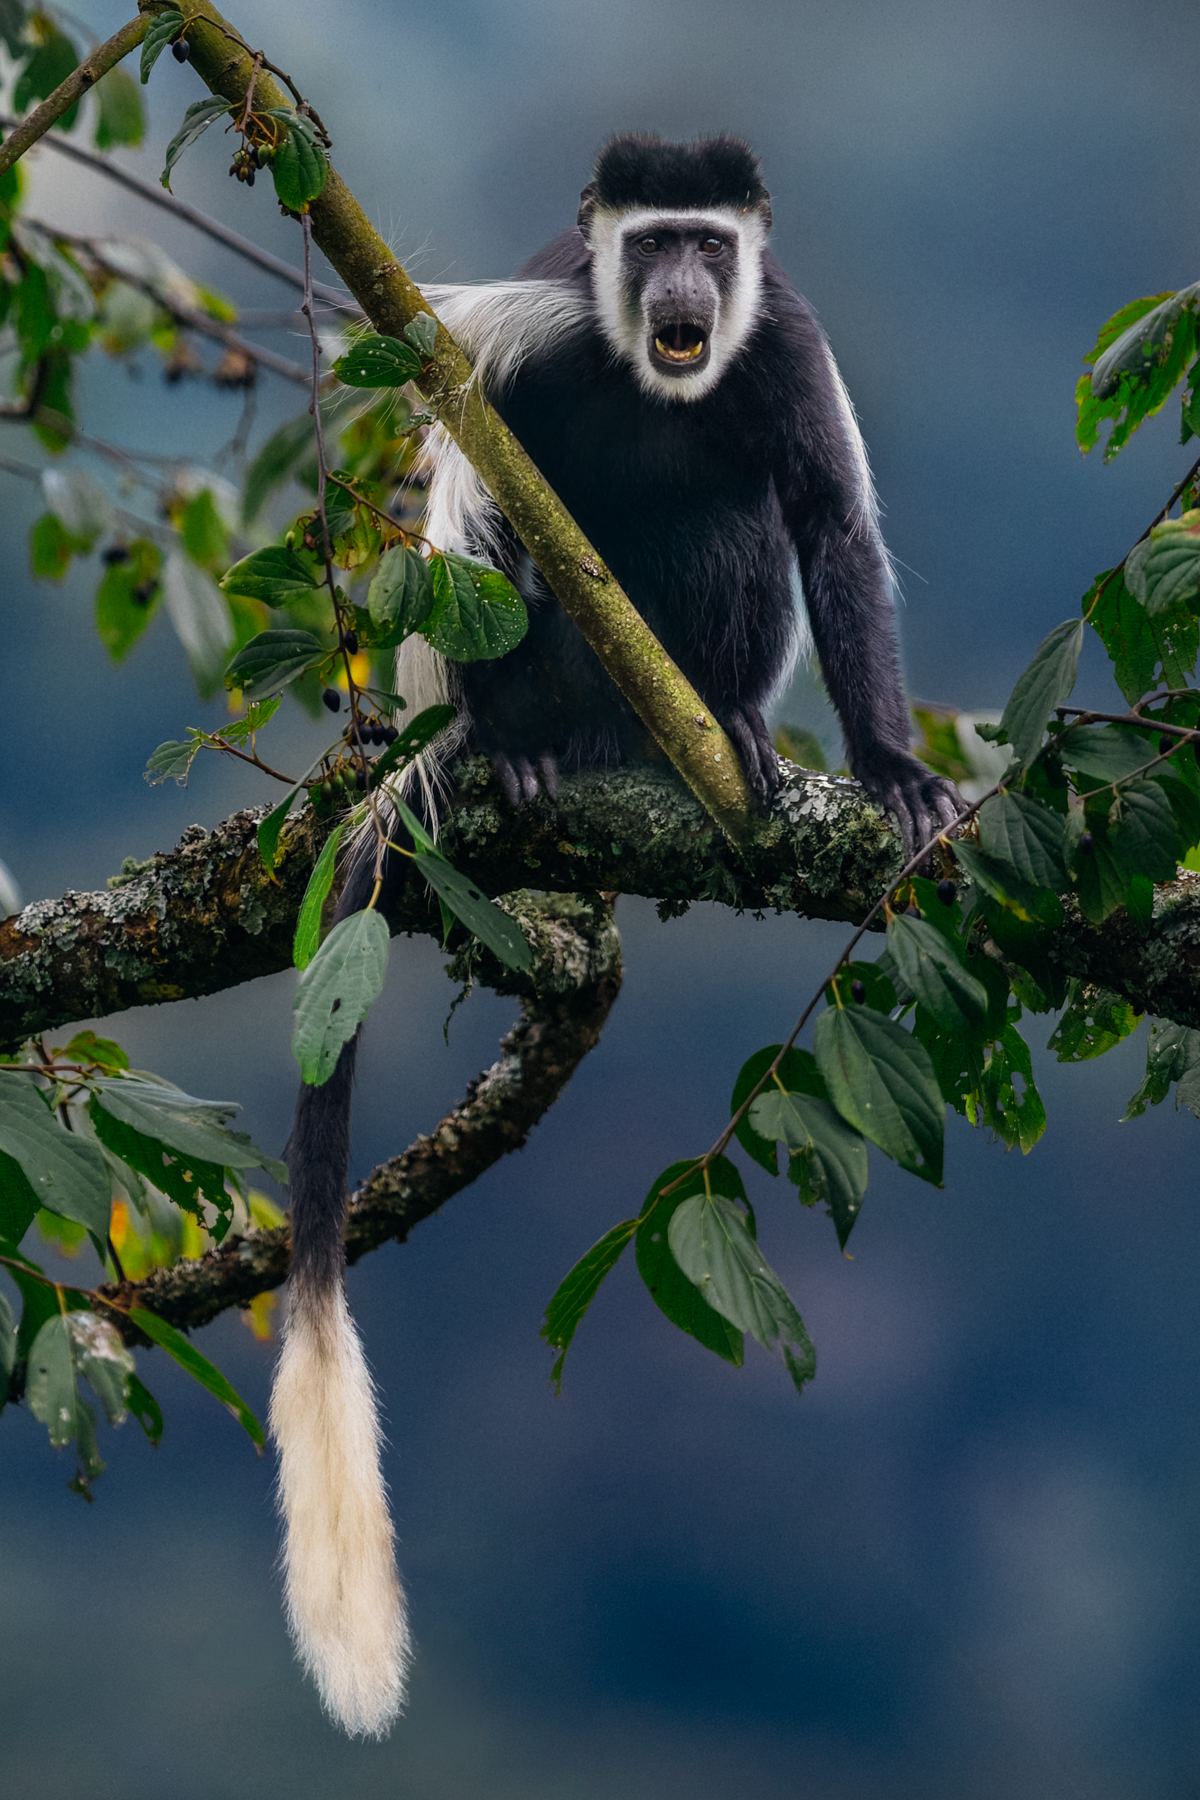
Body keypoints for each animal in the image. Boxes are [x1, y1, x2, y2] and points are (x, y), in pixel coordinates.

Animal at [272, 133, 961, 1739]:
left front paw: (890, 770)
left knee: (741, 522)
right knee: (503, 555)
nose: (684, 286)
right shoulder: (528, 329)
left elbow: (831, 526)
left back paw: (715, 736)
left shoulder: (787, 345)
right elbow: (473, 496)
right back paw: (518, 752)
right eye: (652, 244)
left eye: (710, 241)